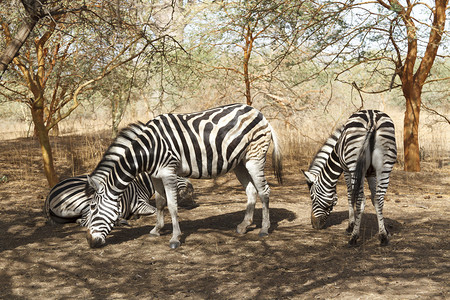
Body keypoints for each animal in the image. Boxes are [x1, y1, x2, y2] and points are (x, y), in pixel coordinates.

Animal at [44, 172, 195, 226]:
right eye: (177, 174)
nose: (192, 188)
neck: (140, 184)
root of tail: (50, 193)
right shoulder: (139, 204)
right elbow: (153, 209)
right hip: (86, 201)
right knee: (85, 221)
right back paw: (120, 220)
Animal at [302, 110, 398, 246]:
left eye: (312, 198)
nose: (314, 225)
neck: (336, 152)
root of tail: (372, 119)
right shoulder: (372, 174)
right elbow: (375, 198)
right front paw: (384, 230)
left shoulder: (346, 170)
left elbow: (349, 195)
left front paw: (350, 226)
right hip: (384, 166)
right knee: (379, 198)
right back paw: (383, 238)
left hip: (354, 164)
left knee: (361, 199)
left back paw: (354, 237)